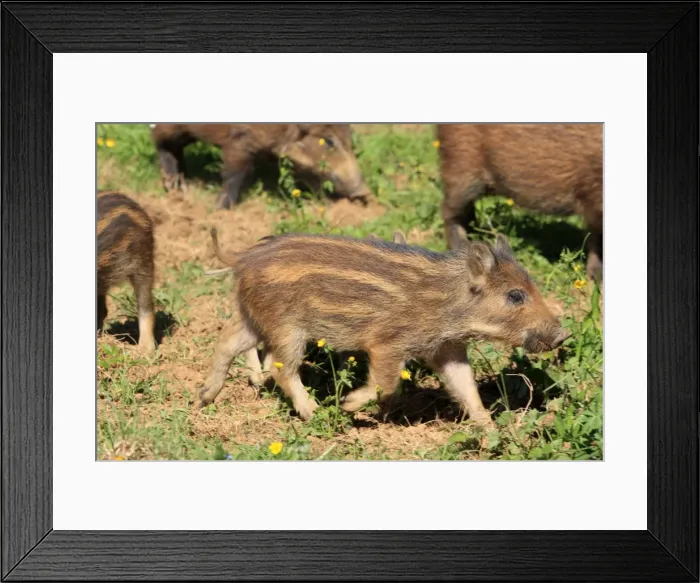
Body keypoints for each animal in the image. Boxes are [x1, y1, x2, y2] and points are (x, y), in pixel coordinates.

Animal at [150, 123, 372, 209]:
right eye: (328, 141)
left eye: (350, 139)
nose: (364, 193)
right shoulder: (239, 143)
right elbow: (234, 175)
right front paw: (220, 209)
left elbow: (310, 179)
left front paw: (323, 203)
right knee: (161, 144)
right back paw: (173, 187)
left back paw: (184, 183)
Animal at [198, 229, 569, 425]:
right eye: (515, 295)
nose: (564, 334)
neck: (446, 303)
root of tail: (242, 259)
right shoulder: (387, 343)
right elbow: (387, 384)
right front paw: (348, 405)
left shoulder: (446, 349)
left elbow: (467, 388)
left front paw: (490, 430)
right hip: (286, 328)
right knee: (281, 369)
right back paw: (315, 412)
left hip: (258, 319)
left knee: (227, 340)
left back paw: (204, 398)